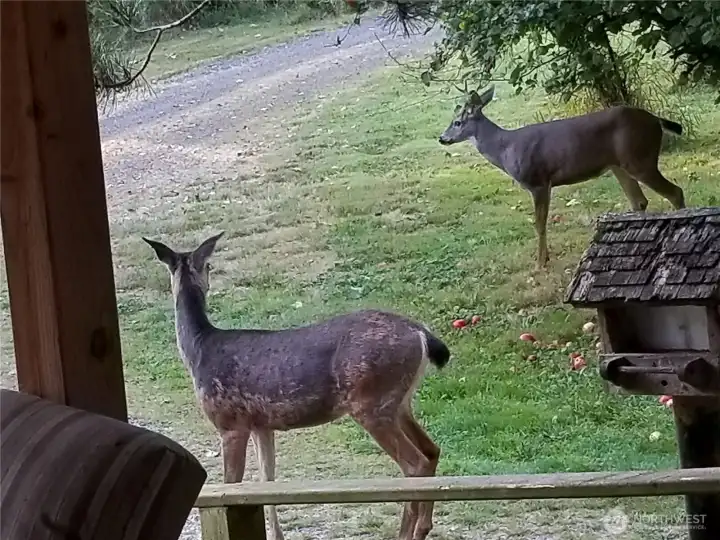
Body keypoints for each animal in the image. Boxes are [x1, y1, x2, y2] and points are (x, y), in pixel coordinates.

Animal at [143, 232, 451, 540]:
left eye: (210, 266)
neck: (199, 350)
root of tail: (421, 334)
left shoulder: (229, 423)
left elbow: (233, 484)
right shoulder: (261, 425)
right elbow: (267, 483)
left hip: (370, 402)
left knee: (414, 464)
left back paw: (408, 532)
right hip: (399, 402)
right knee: (431, 451)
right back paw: (423, 527)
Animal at [438, 84, 686, 269]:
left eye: (457, 122)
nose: (442, 138)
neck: (505, 148)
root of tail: (656, 120)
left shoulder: (538, 181)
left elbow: (539, 224)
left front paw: (540, 263)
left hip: (638, 158)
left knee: (675, 192)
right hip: (619, 165)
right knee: (640, 201)